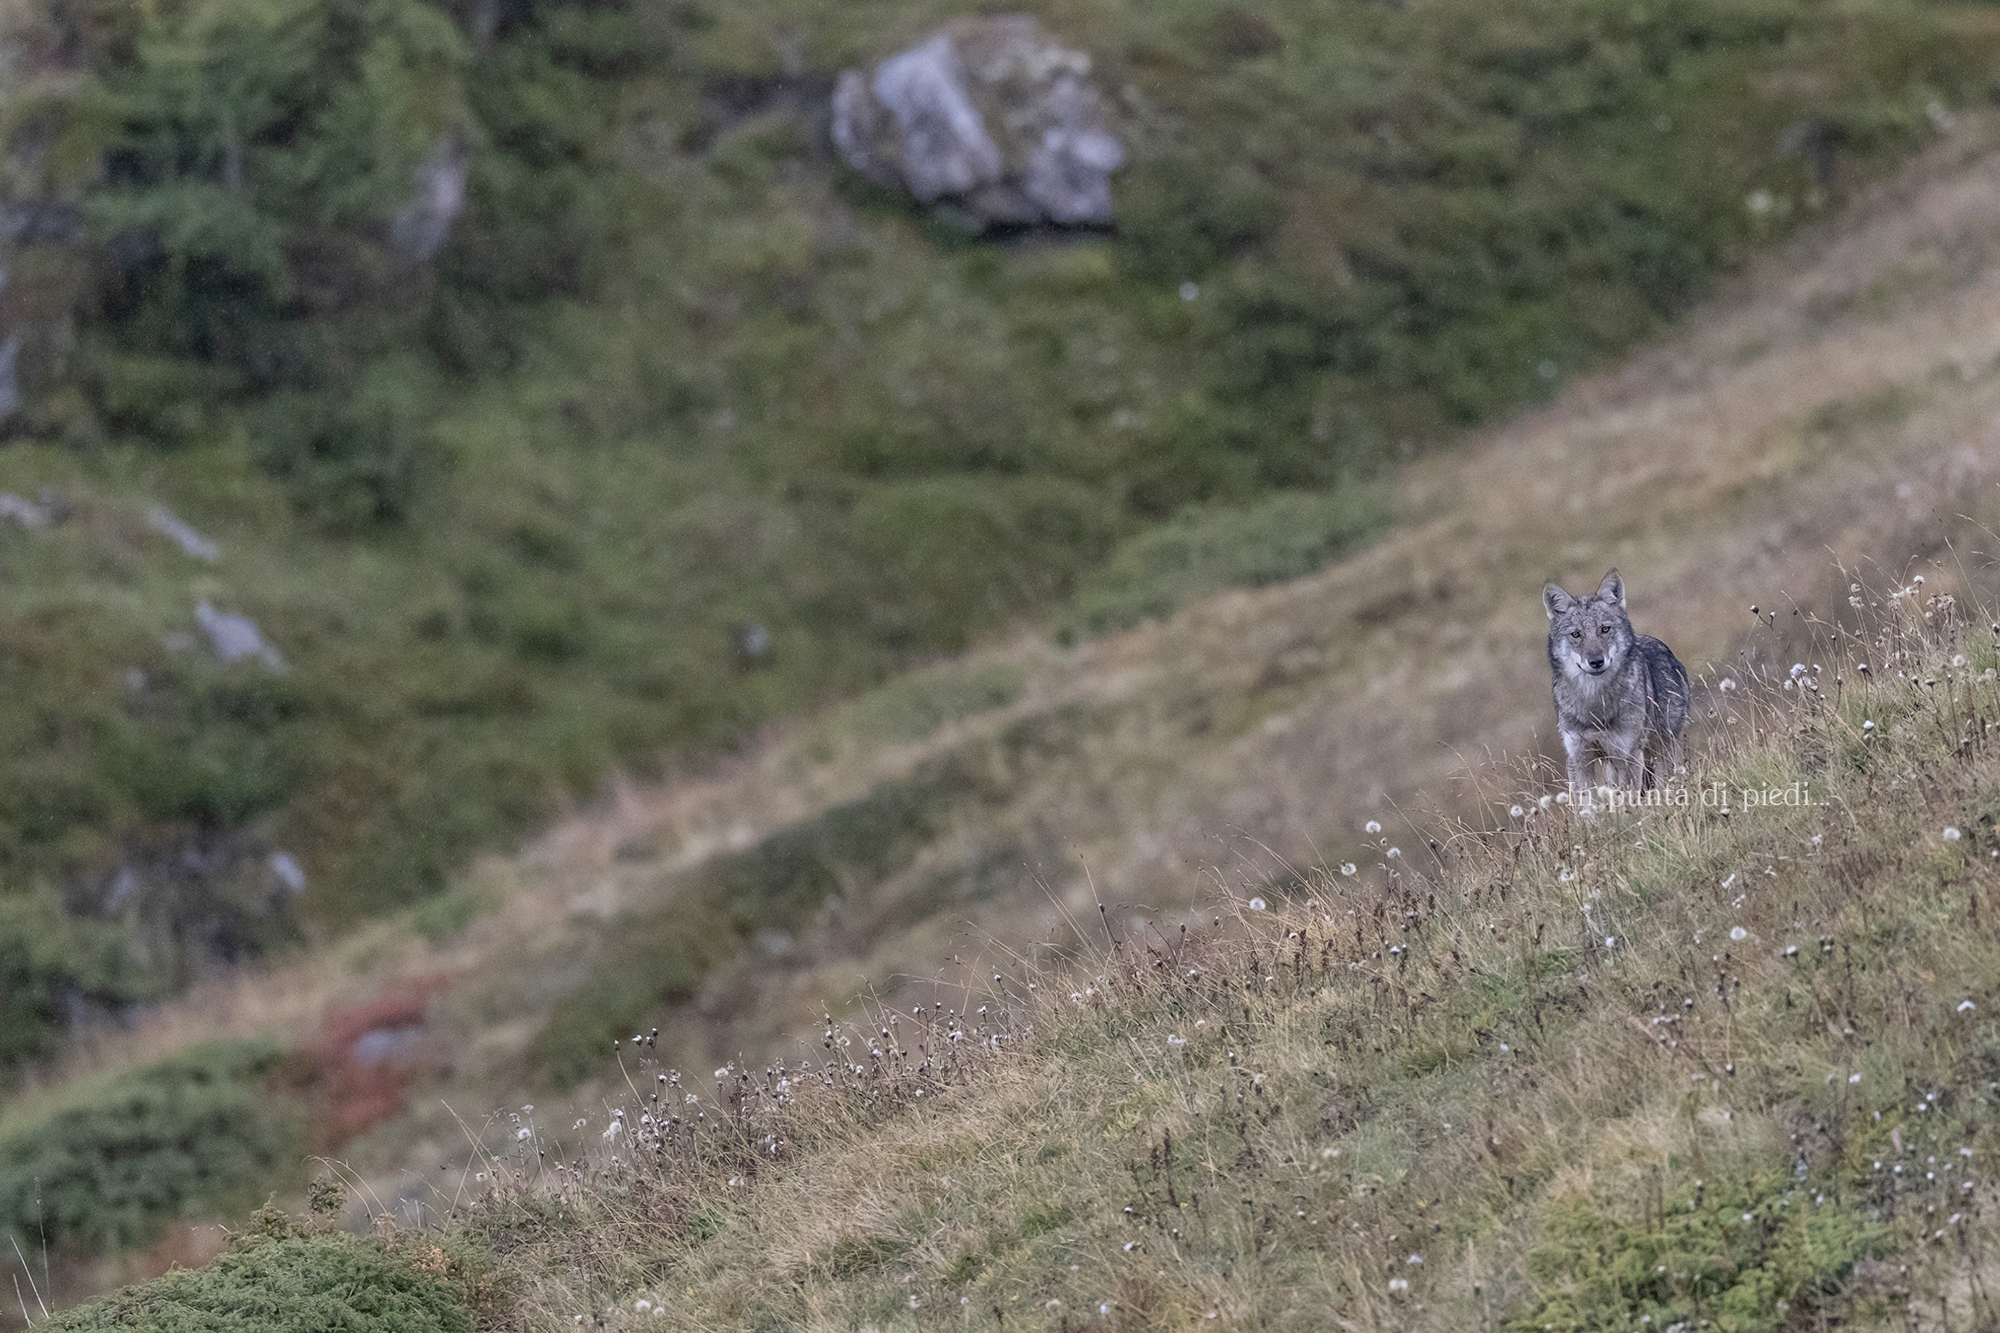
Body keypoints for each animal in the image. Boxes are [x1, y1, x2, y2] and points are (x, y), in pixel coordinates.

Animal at [1542, 569, 1689, 812]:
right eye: (1576, 634)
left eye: (1605, 629)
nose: (1596, 661)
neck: (1594, 705)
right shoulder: (1579, 757)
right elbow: (1587, 808)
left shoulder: (1628, 754)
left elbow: (1628, 800)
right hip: (1612, 763)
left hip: (1659, 750)